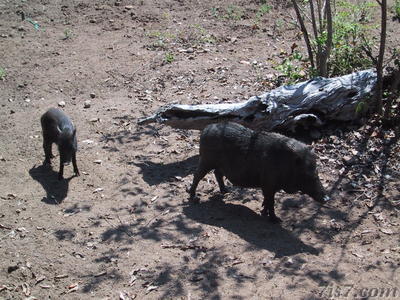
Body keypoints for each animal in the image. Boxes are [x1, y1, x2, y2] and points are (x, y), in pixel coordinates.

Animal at [189, 122, 330, 223]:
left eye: (317, 171)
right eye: (306, 175)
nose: (327, 198)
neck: (285, 163)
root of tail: (205, 129)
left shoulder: (269, 186)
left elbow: (267, 200)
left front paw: (265, 213)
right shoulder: (268, 183)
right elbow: (271, 201)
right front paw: (276, 220)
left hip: (218, 165)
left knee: (217, 174)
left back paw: (227, 191)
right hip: (206, 160)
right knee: (197, 176)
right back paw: (194, 197)